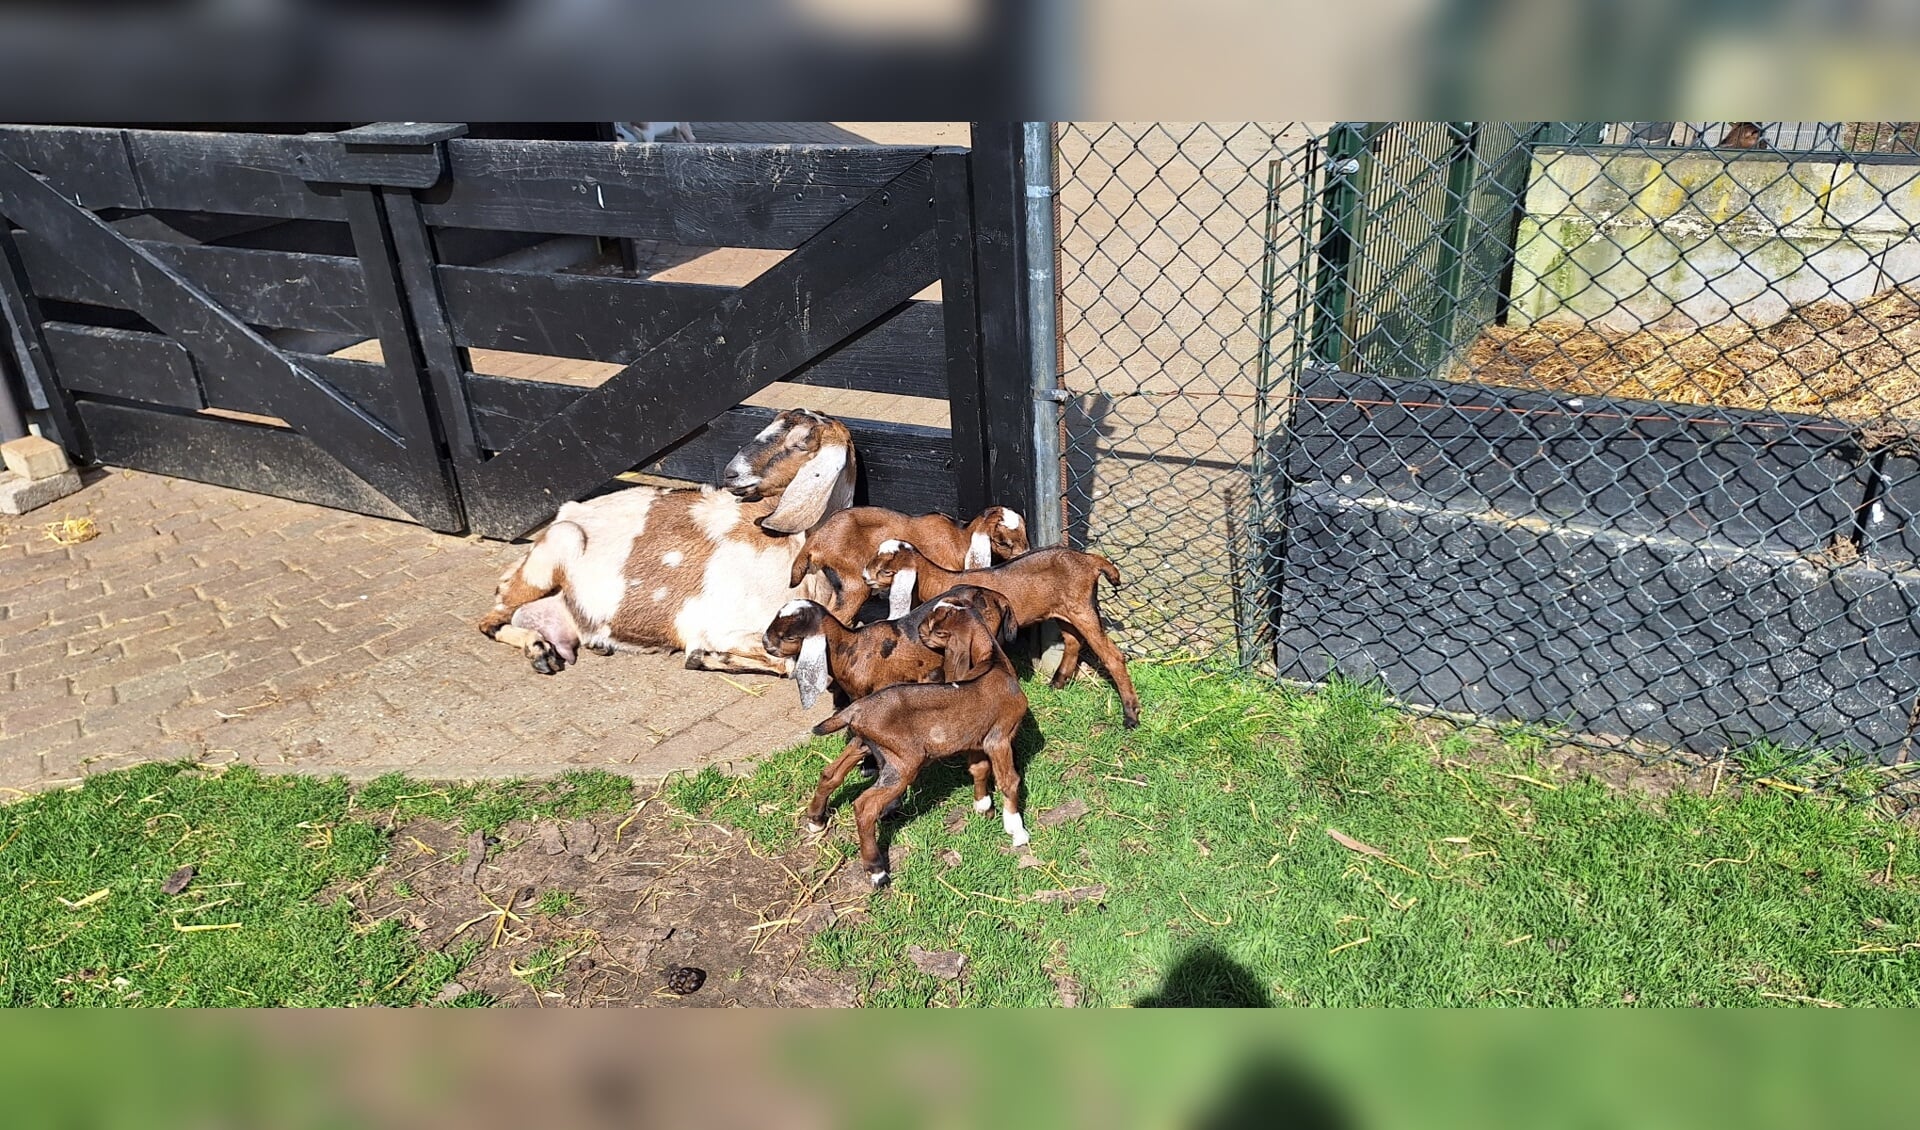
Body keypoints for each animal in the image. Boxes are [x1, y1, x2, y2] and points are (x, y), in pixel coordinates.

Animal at [483, 410, 860, 675]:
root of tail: (568, 510)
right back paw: (538, 651)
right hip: (559, 546)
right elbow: (785, 662)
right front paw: (704, 657)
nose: (731, 473)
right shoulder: (726, 627)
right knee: (491, 619)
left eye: (801, 441)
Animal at [810, 594, 1036, 886]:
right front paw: (1016, 830)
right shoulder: (999, 738)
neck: (995, 663)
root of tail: (856, 709)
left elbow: (979, 769)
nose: (919, 630)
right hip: (903, 762)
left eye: (939, 630)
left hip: (865, 745)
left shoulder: (975, 740)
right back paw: (877, 871)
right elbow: (1009, 781)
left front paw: (983, 806)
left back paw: (815, 819)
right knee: (864, 806)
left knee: (831, 773)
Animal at [860, 541, 1136, 725]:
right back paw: (1057, 683)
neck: (937, 580)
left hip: (1082, 608)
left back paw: (1131, 715)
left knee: (1112, 656)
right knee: (1072, 642)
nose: (863, 577)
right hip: (1066, 610)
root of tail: (1089, 560)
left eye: (886, 570)